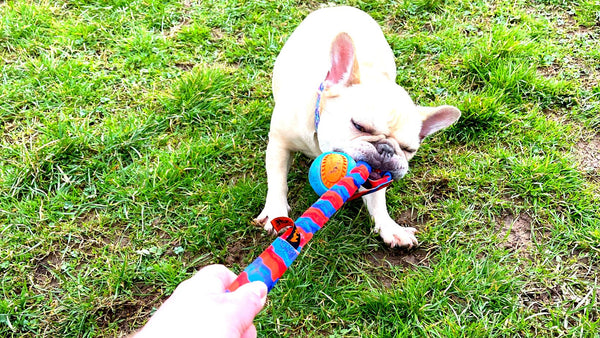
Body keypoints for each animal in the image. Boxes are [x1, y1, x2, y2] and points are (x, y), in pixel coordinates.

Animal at [254, 5, 460, 248]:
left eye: (408, 149)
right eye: (359, 126)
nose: (386, 149)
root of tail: (339, 7)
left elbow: (377, 199)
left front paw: (389, 226)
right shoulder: (280, 143)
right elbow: (277, 179)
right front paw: (276, 212)